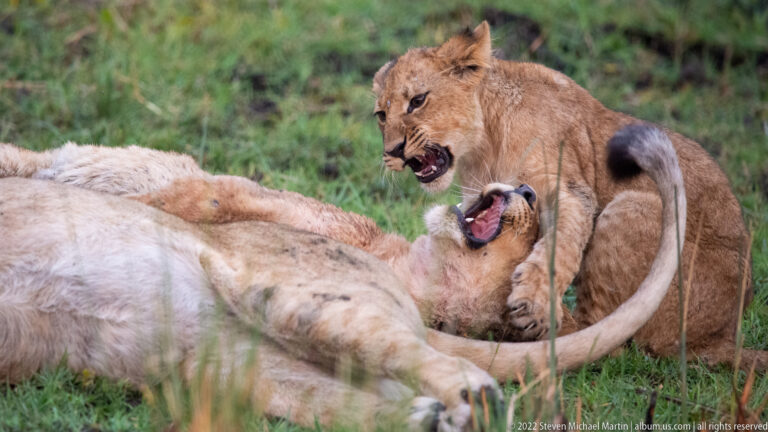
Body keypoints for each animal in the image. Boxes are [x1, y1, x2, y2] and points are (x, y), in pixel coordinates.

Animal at [372, 22, 759, 369]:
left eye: (418, 101)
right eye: (381, 115)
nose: (392, 152)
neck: (483, 143)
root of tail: (722, 336)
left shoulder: (567, 187)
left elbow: (562, 242)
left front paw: (534, 299)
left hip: (637, 204)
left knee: (605, 339)